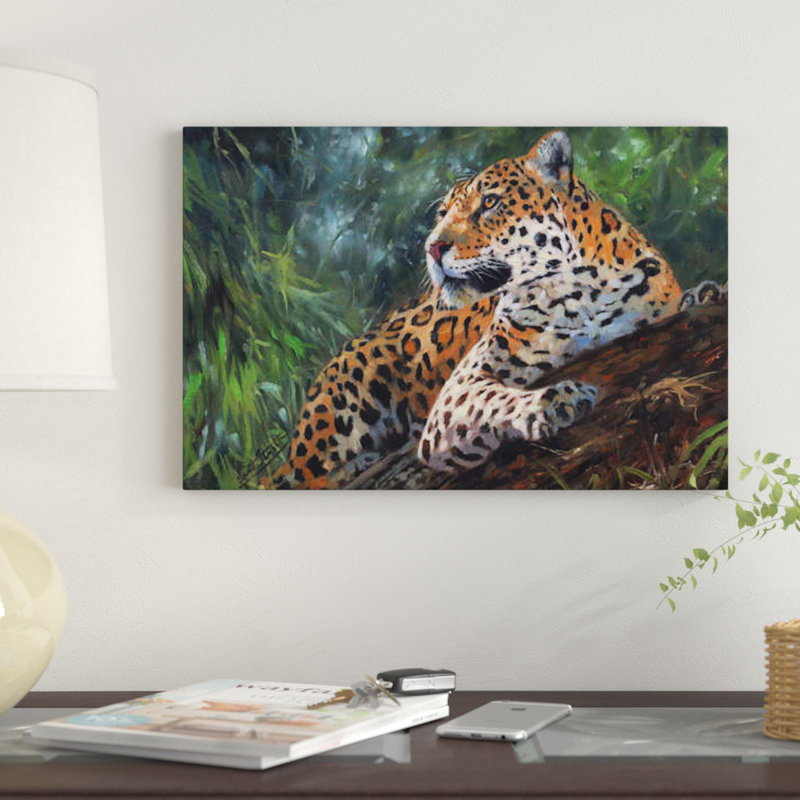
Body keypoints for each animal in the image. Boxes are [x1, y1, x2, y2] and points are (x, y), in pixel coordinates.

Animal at [273, 130, 701, 489]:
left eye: (490, 203)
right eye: (442, 214)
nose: (432, 247)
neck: (577, 293)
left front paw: (701, 295)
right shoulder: (457, 392)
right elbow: (492, 399)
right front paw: (552, 401)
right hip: (348, 397)